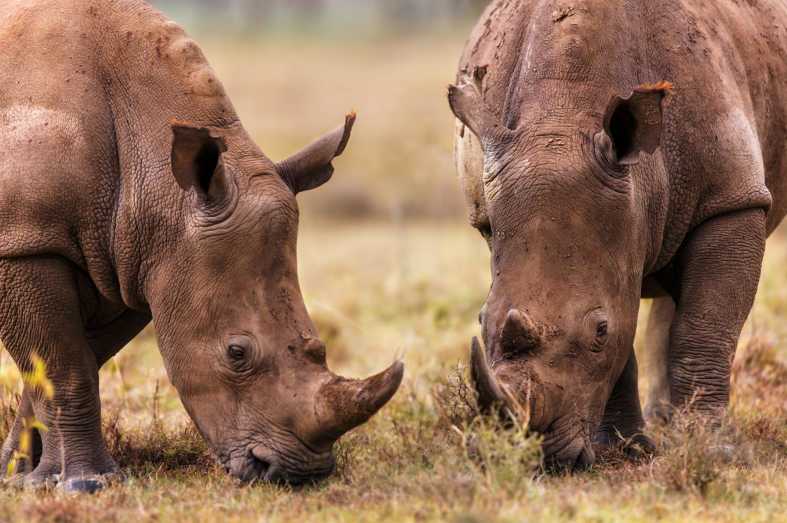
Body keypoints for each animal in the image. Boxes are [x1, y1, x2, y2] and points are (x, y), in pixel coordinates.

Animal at [0, 0, 403, 492]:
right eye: (236, 353)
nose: (298, 473)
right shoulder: (27, 241)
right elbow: (65, 366)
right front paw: (87, 483)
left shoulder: (130, 258)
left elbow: (70, 362)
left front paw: (20, 475)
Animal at [449, 0, 787, 469]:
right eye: (480, 321)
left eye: (599, 331)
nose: (534, 457)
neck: (560, 115)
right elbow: (625, 337)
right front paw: (626, 451)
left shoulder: (732, 200)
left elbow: (705, 327)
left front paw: (711, 448)